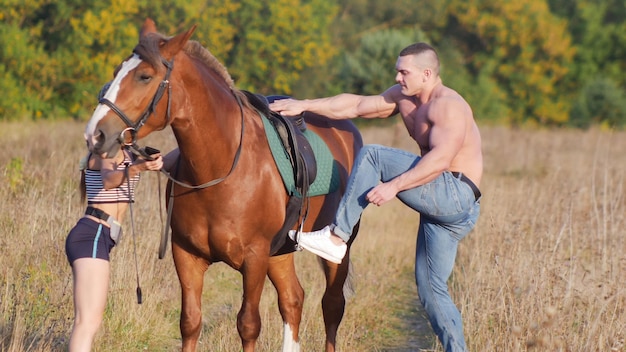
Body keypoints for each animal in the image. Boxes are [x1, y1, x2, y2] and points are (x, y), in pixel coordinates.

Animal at [83, 19, 360, 352]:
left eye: (144, 76)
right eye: (116, 71)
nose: (96, 134)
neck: (219, 171)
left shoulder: (255, 258)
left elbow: (248, 325)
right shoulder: (186, 256)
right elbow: (190, 322)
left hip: (335, 251)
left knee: (331, 306)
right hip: (281, 251)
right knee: (293, 300)